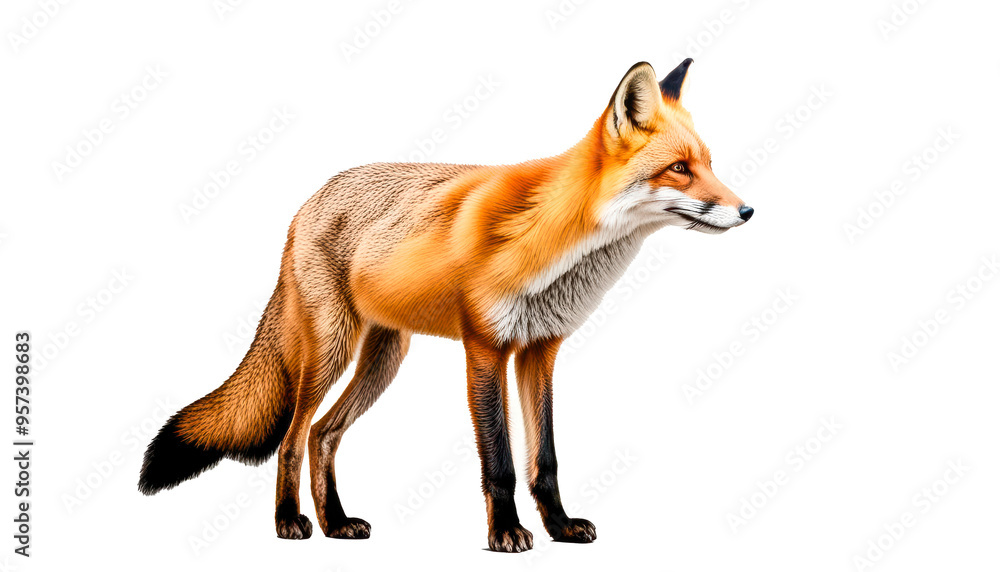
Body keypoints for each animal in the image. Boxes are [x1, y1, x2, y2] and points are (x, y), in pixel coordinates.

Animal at [138, 59, 753, 553]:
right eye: (680, 169)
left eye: (710, 164)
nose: (748, 211)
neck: (555, 246)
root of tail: (310, 200)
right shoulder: (484, 347)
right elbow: (500, 462)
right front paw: (506, 534)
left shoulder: (540, 350)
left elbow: (545, 459)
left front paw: (559, 528)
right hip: (331, 351)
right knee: (291, 439)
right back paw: (290, 521)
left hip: (385, 359)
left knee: (323, 434)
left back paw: (336, 523)